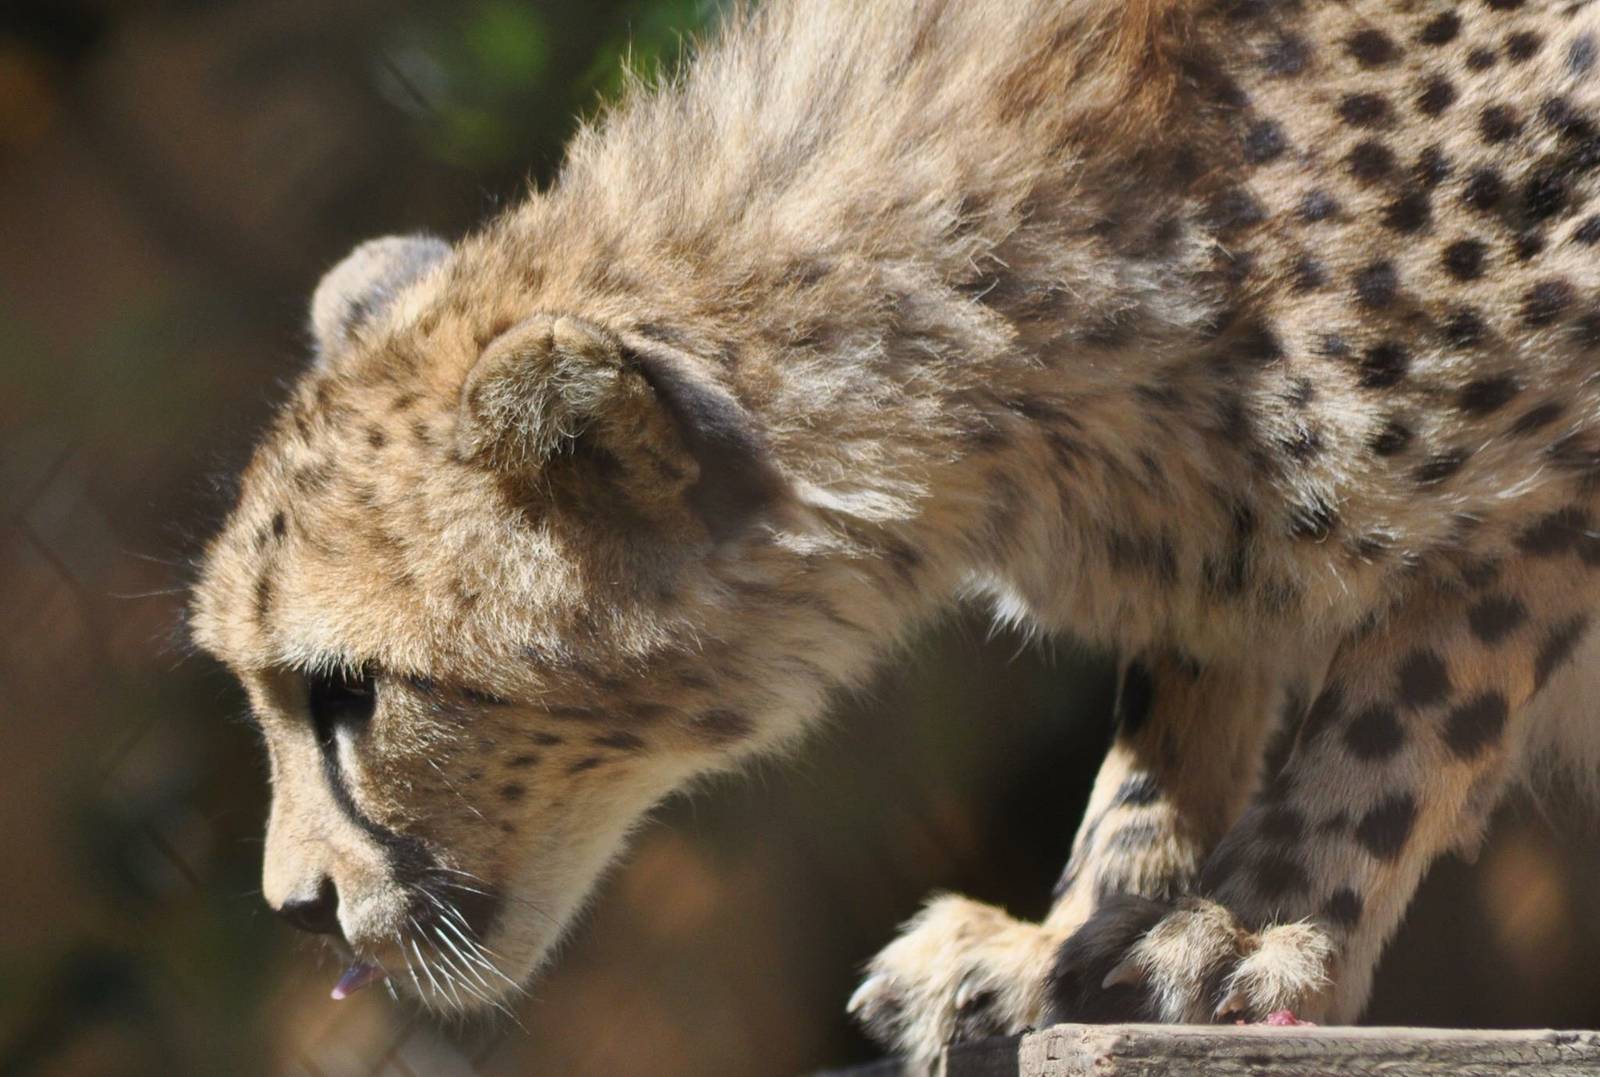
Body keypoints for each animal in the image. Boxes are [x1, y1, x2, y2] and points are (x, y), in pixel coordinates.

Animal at [188, 0, 1600, 1068]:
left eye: (353, 692)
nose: (295, 909)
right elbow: (1180, 709)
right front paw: (1066, 941)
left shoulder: (1552, 489)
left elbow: (1402, 710)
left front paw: (1256, 927)